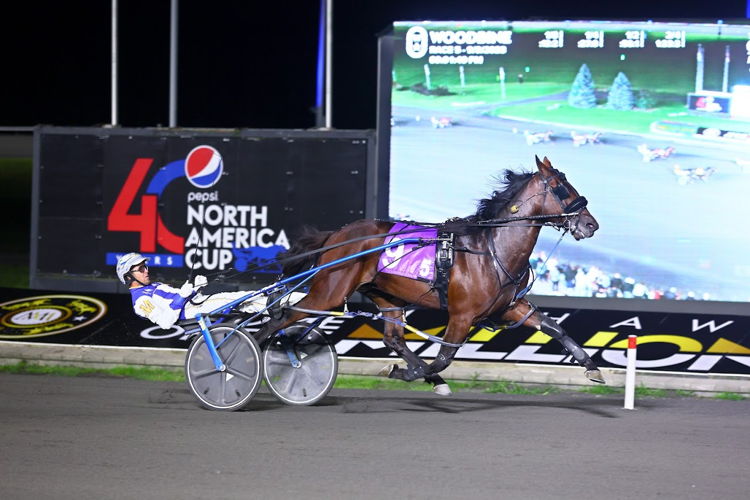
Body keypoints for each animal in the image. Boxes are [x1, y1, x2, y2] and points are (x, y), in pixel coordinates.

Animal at [258, 156, 604, 394]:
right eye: (560, 188)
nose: (590, 224)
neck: (490, 249)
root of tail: (338, 235)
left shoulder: (510, 307)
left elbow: (555, 328)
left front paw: (591, 367)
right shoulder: (462, 315)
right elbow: (445, 357)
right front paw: (407, 374)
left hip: (386, 295)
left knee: (393, 338)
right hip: (328, 292)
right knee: (282, 317)